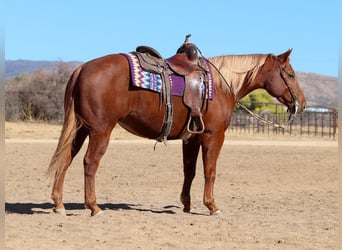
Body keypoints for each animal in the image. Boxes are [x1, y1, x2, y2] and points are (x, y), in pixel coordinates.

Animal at [46, 47, 306, 217]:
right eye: (290, 74)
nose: (301, 104)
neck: (221, 86)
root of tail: (82, 68)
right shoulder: (213, 136)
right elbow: (210, 171)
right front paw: (212, 206)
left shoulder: (191, 138)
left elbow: (189, 171)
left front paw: (187, 204)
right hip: (100, 130)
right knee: (90, 163)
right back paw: (94, 207)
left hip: (81, 129)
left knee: (65, 159)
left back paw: (59, 204)